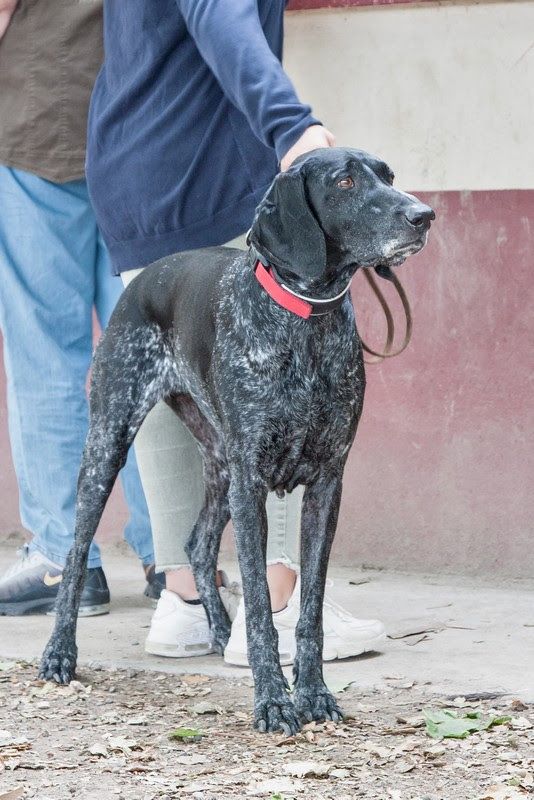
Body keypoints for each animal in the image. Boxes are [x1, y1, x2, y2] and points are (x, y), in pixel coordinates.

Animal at [38, 147, 436, 736]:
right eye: (344, 182)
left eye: (388, 177)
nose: (423, 215)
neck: (304, 319)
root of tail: (145, 277)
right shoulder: (251, 485)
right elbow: (261, 604)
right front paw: (272, 700)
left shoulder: (325, 485)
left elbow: (309, 610)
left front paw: (313, 693)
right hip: (109, 442)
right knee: (75, 551)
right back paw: (59, 653)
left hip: (219, 463)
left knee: (197, 544)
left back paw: (222, 631)